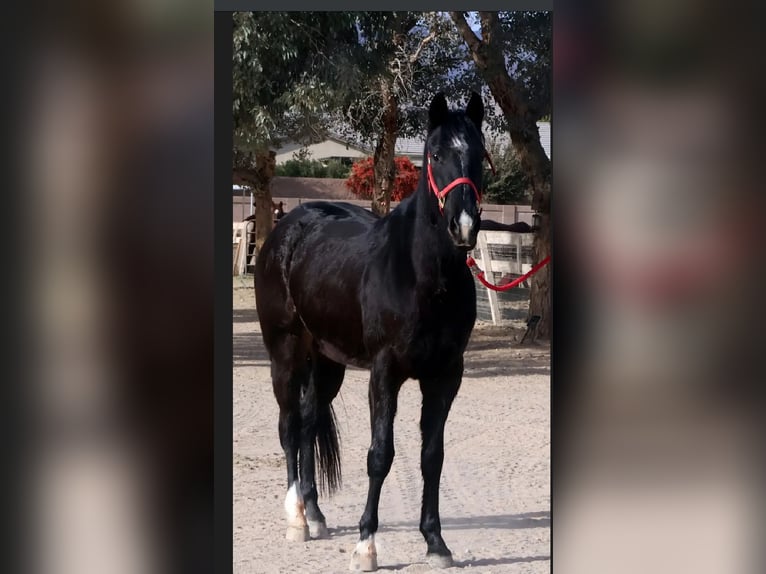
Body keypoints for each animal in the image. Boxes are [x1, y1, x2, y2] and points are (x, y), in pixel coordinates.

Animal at [256, 93, 486, 572]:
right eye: (435, 154)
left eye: (479, 154)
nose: (464, 226)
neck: (422, 277)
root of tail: (289, 227)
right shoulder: (385, 373)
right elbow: (381, 455)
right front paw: (366, 545)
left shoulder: (445, 376)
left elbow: (432, 456)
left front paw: (436, 542)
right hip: (285, 352)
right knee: (289, 426)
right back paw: (296, 519)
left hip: (326, 362)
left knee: (308, 425)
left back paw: (316, 514)